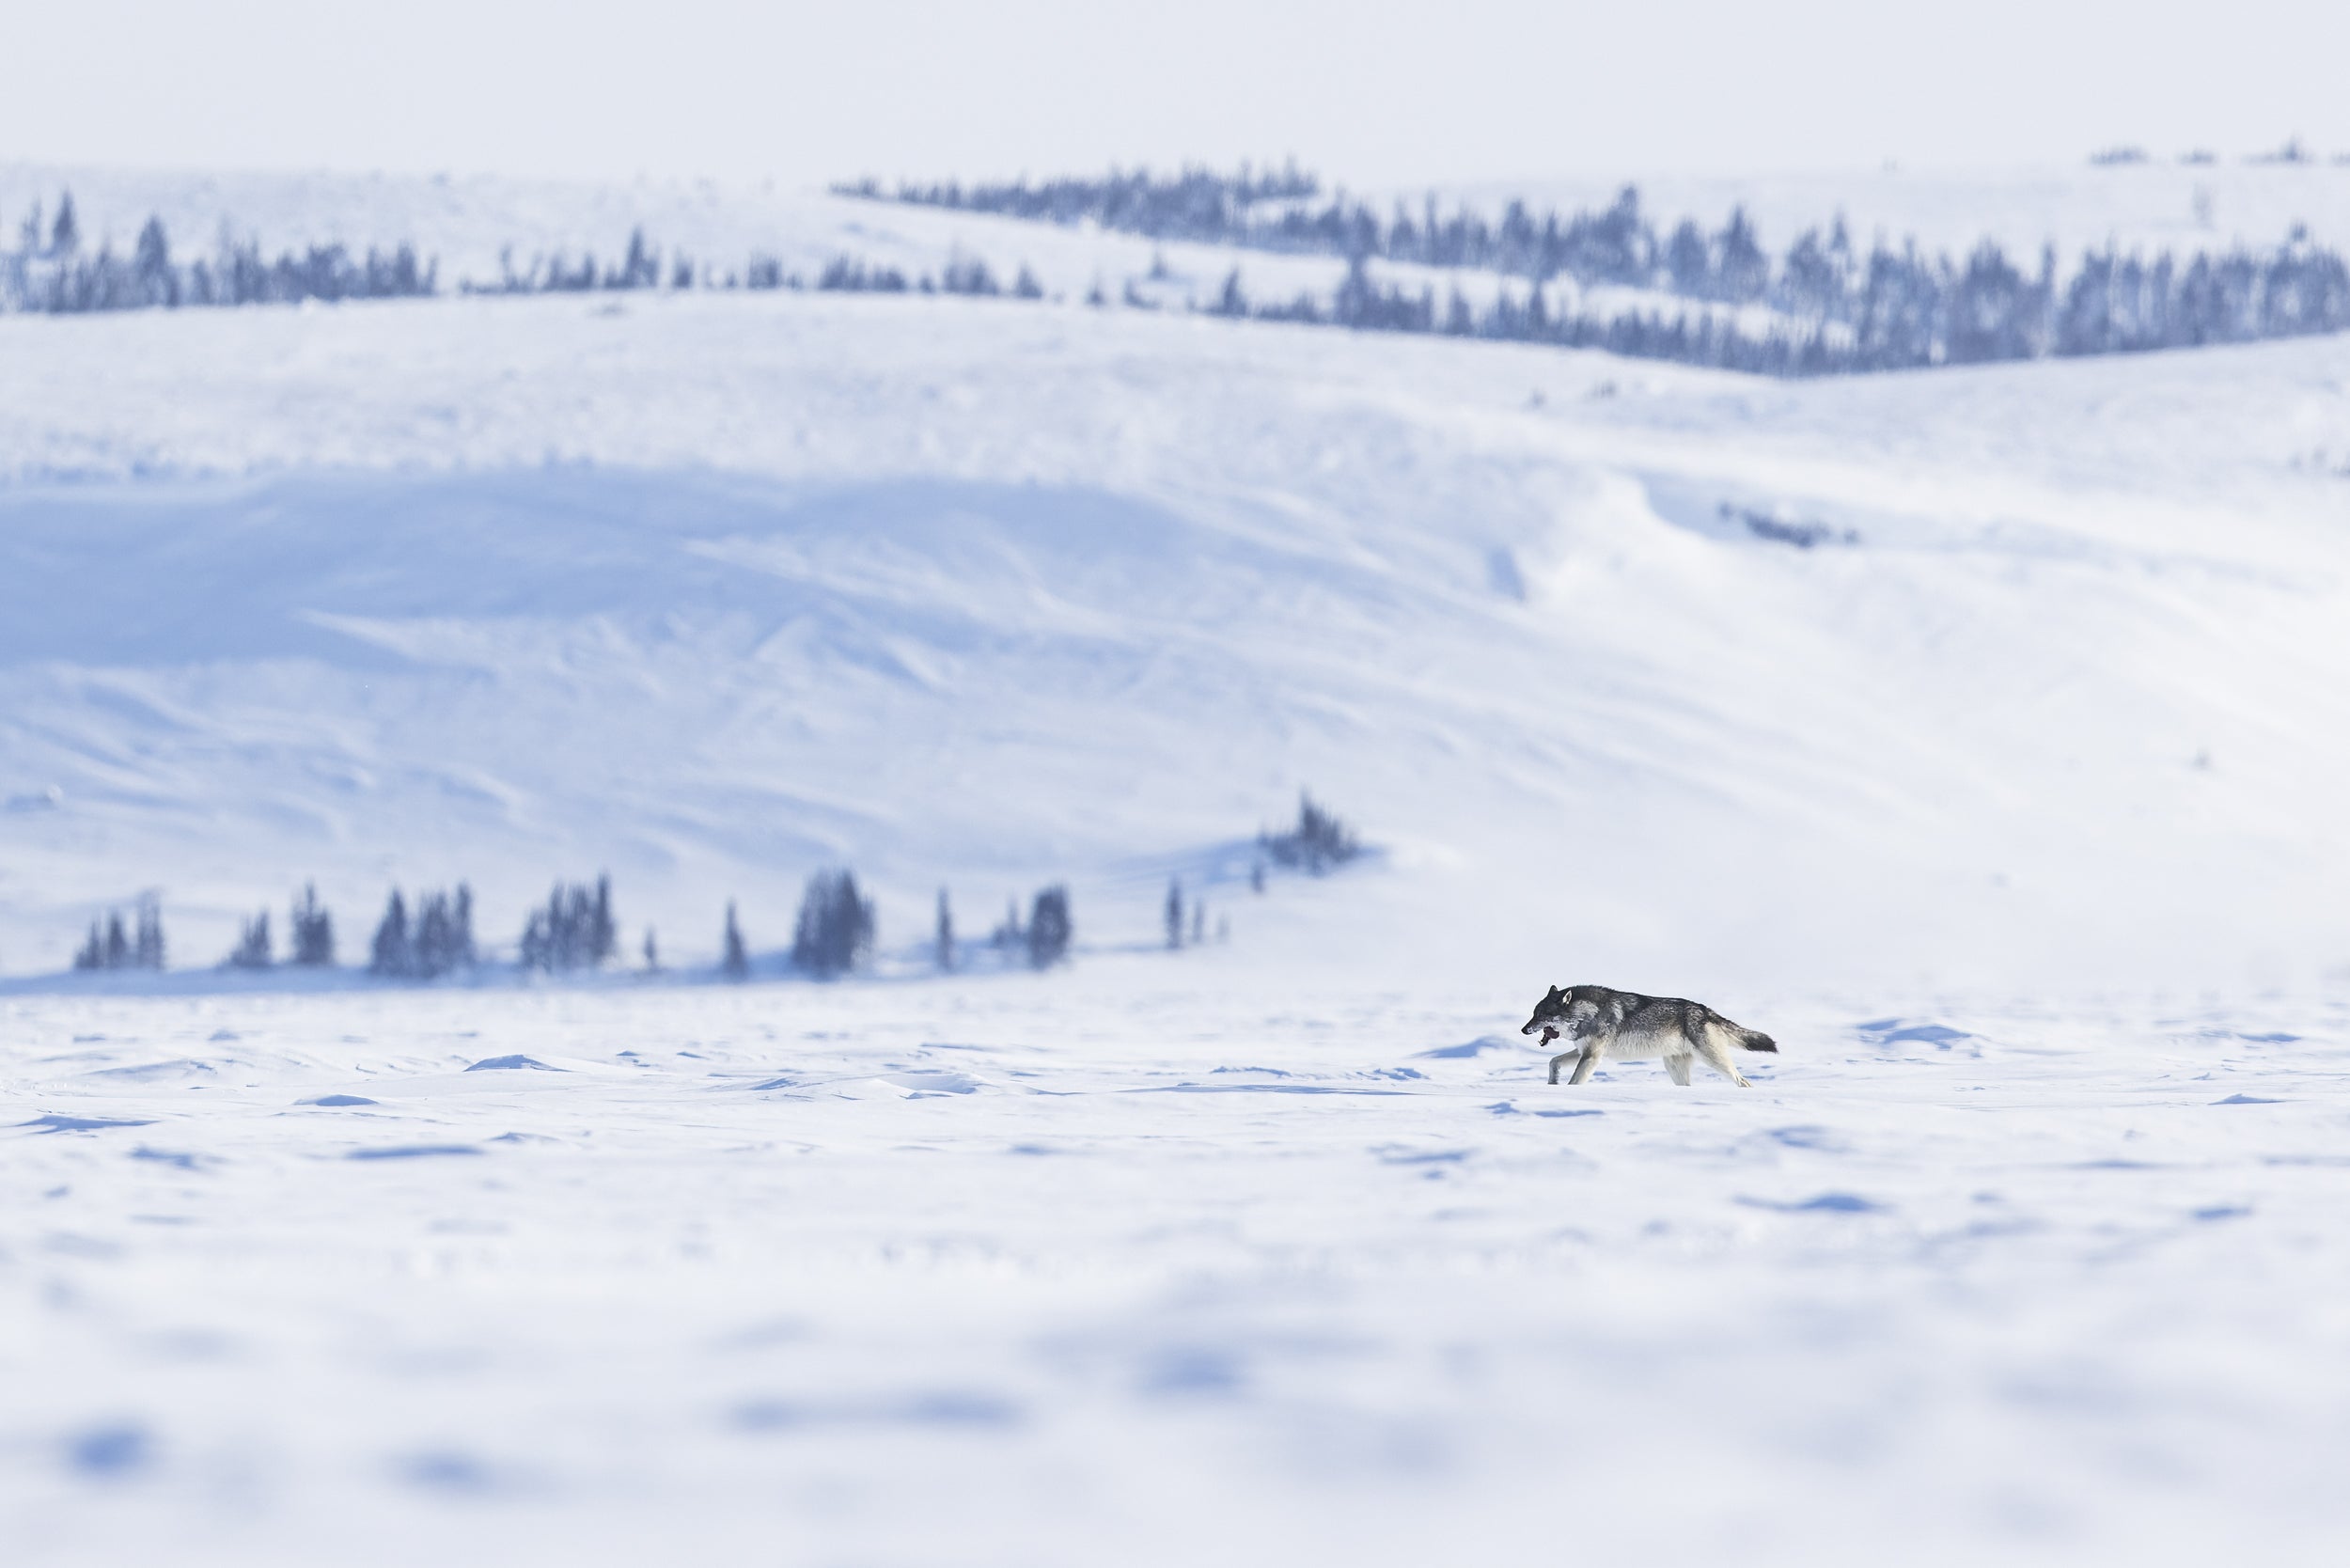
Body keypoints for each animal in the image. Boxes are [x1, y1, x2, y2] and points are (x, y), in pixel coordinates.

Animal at [1520, 984, 1777, 1087]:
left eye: (1541, 1015)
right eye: (1533, 1014)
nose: (1523, 1030)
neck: (1587, 1012)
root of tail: (1706, 1010)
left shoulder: (1592, 1056)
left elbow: (1575, 1081)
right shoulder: (1583, 1051)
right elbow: (1553, 1061)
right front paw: (1553, 1083)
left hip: (1715, 1062)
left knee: (1743, 1081)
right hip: (1673, 1068)